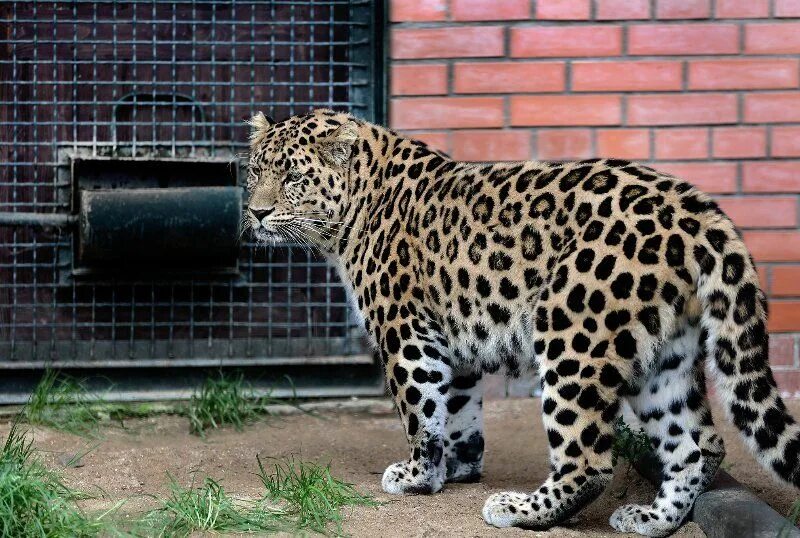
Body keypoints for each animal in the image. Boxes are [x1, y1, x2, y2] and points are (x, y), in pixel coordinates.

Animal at [244, 107, 800, 532]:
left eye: (293, 178)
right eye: (253, 172)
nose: (256, 213)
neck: (356, 208)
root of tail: (694, 208)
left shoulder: (406, 332)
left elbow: (420, 409)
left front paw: (417, 475)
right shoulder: (450, 338)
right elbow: (458, 408)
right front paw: (457, 467)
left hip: (573, 332)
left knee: (591, 459)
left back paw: (521, 510)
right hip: (666, 356)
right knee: (698, 443)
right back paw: (650, 519)